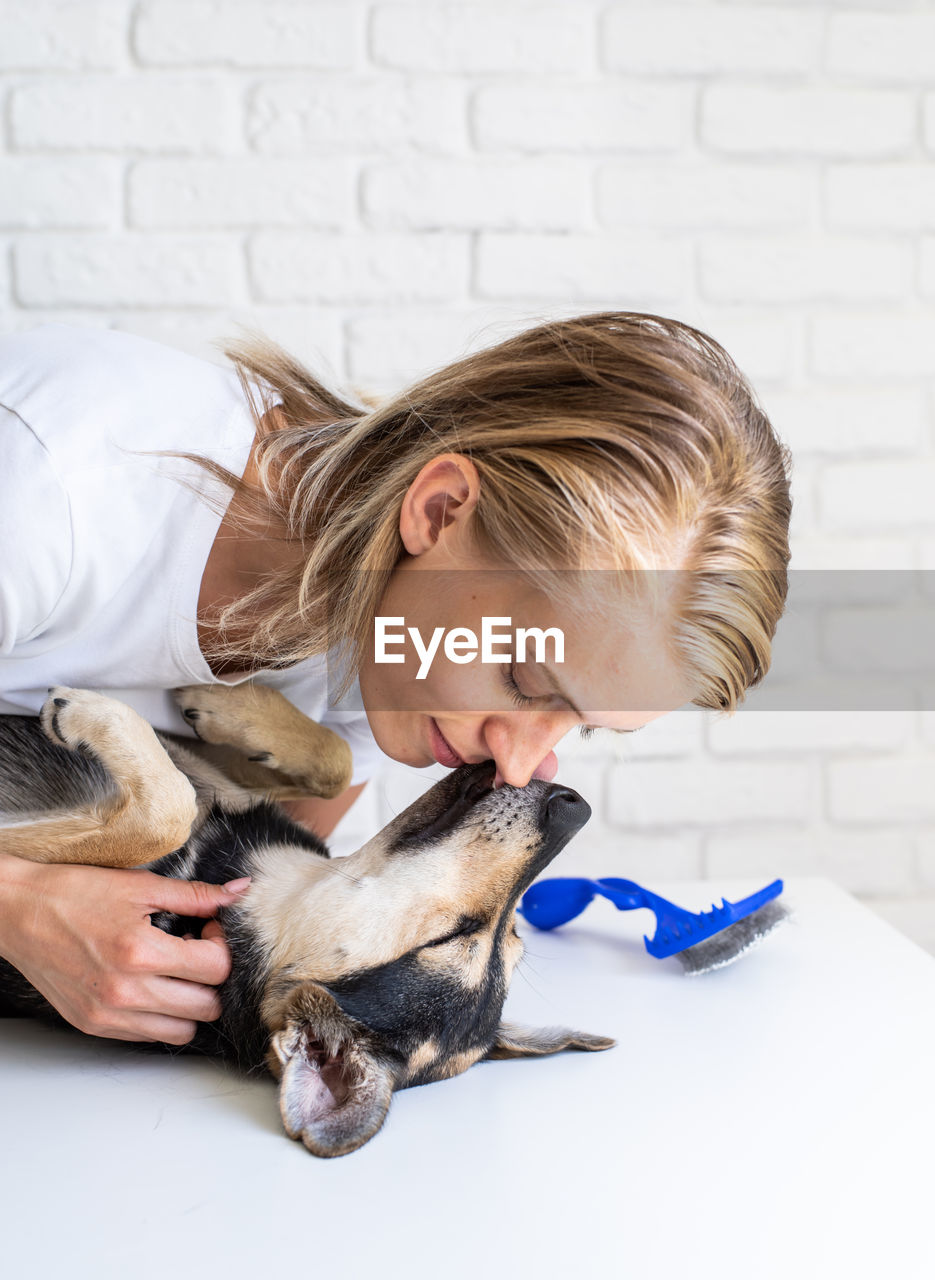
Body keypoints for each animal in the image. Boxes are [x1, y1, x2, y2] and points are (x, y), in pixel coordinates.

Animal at [0, 691, 612, 1162]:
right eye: (512, 938)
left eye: (451, 937)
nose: (576, 807)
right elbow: (334, 765)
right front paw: (230, 707)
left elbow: (167, 812)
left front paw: (95, 715)